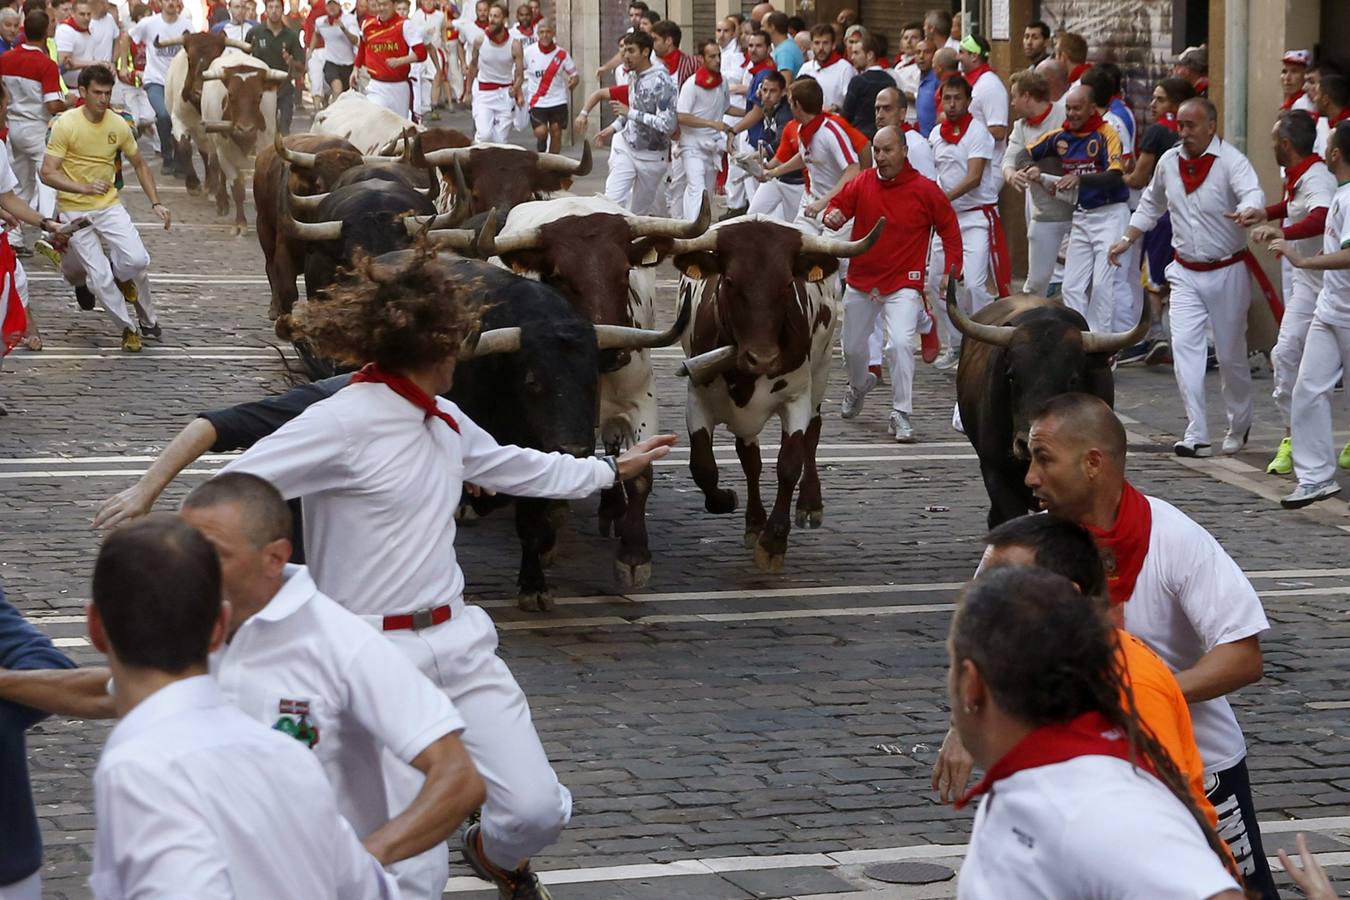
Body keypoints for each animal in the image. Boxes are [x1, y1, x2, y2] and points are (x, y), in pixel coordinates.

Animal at [475, 194, 707, 593]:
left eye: (624, 272)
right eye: (559, 276)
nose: (611, 351)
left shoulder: (639, 400)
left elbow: (640, 474)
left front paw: (634, 555)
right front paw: (546, 539)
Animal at [669, 214, 880, 574]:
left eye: (785, 284)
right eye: (729, 280)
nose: (764, 358)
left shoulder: (795, 399)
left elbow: (788, 464)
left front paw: (774, 541)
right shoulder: (697, 397)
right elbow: (703, 466)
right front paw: (728, 501)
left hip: (822, 369)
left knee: (813, 433)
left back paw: (809, 503)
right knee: (749, 458)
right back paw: (754, 521)